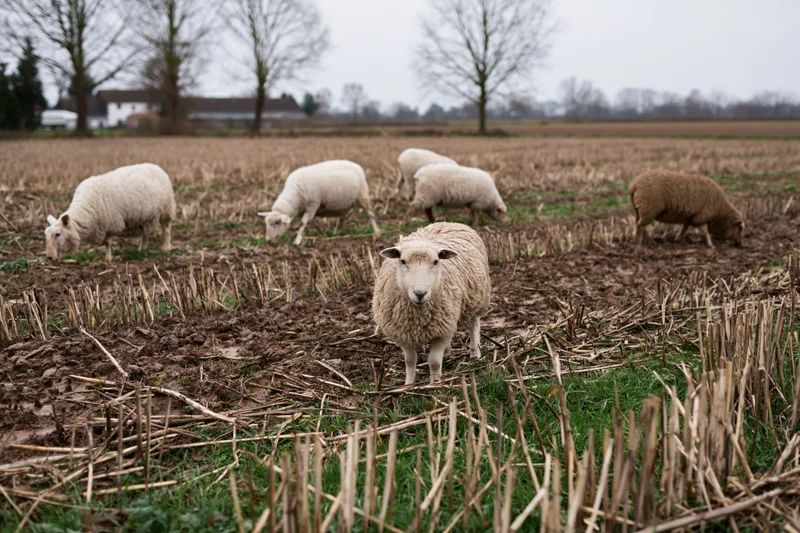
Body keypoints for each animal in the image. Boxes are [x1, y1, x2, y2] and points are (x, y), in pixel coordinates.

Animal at [44, 163, 175, 261]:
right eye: (46, 234)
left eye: (57, 234)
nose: (49, 257)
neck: (85, 210)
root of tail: (157, 167)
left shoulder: (110, 224)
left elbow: (107, 243)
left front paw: (108, 259)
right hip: (145, 216)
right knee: (146, 234)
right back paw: (141, 249)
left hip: (166, 209)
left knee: (166, 229)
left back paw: (166, 247)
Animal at [373, 222, 491, 385]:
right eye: (403, 261)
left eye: (436, 261)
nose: (420, 293)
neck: (418, 314)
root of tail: (449, 222)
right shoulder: (404, 332)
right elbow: (410, 360)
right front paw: (408, 384)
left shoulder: (441, 332)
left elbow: (434, 361)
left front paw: (435, 383)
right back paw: (447, 352)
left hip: (476, 298)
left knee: (474, 325)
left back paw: (475, 354)